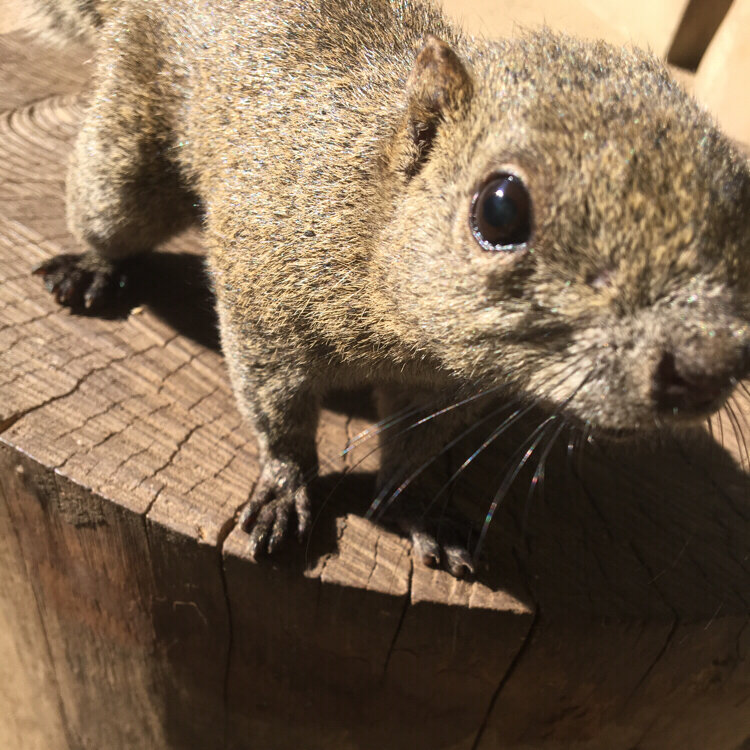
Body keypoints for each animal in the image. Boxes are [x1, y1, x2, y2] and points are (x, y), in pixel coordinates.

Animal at [29, 0, 750, 580]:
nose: (707, 368)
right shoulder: (262, 302)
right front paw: (285, 485)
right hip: (132, 139)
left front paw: (418, 509)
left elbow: (416, 451)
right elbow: (276, 408)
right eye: (500, 209)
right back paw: (90, 268)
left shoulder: (446, 391)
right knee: (107, 204)